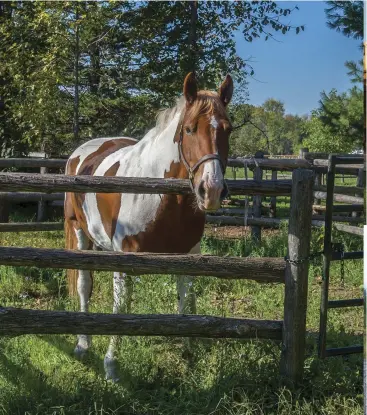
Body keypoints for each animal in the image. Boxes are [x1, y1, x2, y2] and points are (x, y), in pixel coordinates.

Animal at [64, 71, 234, 380]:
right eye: (189, 129)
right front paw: (112, 365)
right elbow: (121, 308)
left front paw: (188, 352)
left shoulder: (188, 257)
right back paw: (83, 343)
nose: (212, 190)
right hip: (79, 232)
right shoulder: (124, 259)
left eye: (228, 130)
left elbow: (186, 300)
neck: (157, 196)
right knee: (84, 285)